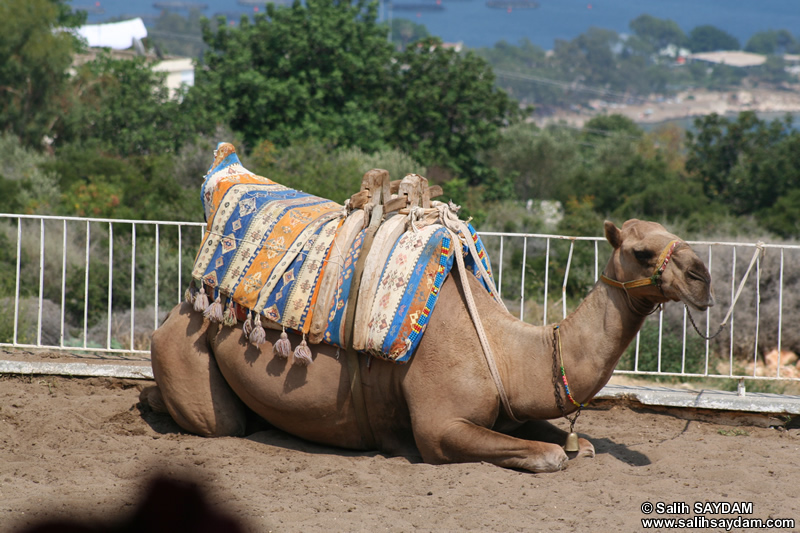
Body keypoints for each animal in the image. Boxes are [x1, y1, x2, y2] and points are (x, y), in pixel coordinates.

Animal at [142, 218, 712, 472]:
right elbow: (551, 455)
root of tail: (181, 305)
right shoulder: (440, 427)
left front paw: (580, 442)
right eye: (642, 252)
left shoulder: (506, 409)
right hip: (187, 350)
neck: (505, 351)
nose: (703, 277)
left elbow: (574, 441)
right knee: (218, 421)